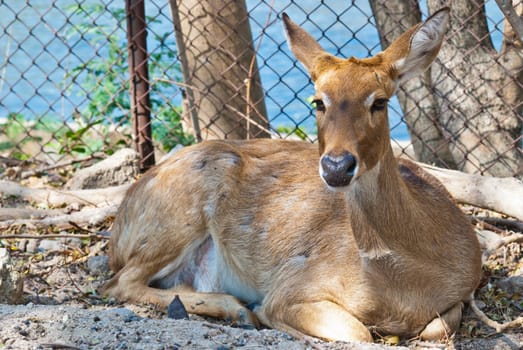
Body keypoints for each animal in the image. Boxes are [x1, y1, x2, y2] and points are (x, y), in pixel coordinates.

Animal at [104, 6, 486, 344]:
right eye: (318, 101)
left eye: (379, 101)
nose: (336, 166)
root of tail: (119, 227)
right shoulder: (293, 284)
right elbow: (359, 333)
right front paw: (268, 317)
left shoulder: (463, 291)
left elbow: (438, 326)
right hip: (178, 214)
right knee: (119, 282)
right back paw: (238, 309)